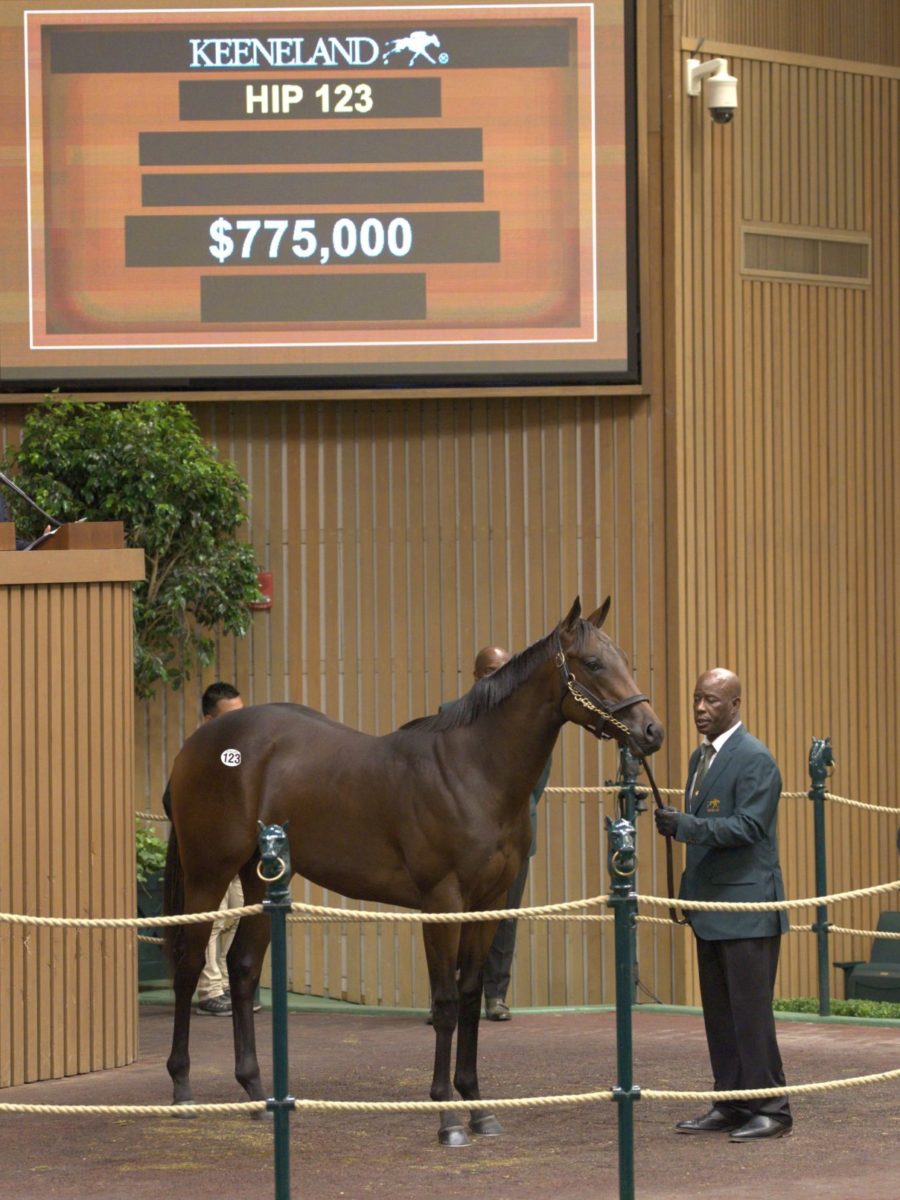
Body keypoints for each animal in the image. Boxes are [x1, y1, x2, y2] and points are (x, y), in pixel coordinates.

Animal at [165, 597, 667, 1142]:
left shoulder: (487, 904)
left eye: (623, 660)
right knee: (189, 967)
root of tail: (198, 744)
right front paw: (446, 1115)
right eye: (593, 664)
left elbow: (469, 996)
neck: (474, 771)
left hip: (262, 877)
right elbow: (445, 1002)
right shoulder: (442, 902)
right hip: (208, 873)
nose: (652, 731)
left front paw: (478, 1106)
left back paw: (258, 1093)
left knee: (242, 968)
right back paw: (182, 1090)